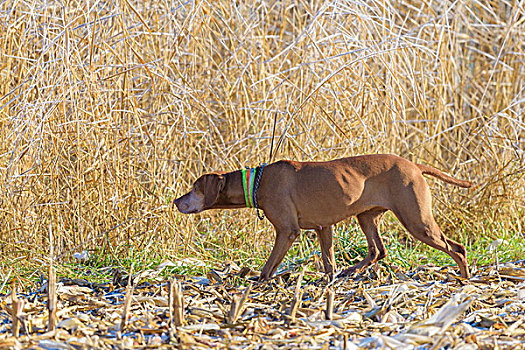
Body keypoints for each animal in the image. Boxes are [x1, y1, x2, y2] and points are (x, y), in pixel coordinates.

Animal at [175, 154, 470, 280]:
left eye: (194, 188)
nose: (176, 201)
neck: (256, 182)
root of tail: (414, 166)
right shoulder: (322, 227)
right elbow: (328, 261)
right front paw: (329, 282)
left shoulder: (287, 231)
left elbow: (269, 265)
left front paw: (258, 282)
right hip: (366, 217)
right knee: (378, 250)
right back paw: (350, 271)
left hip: (417, 221)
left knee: (457, 248)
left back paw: (465, 278)